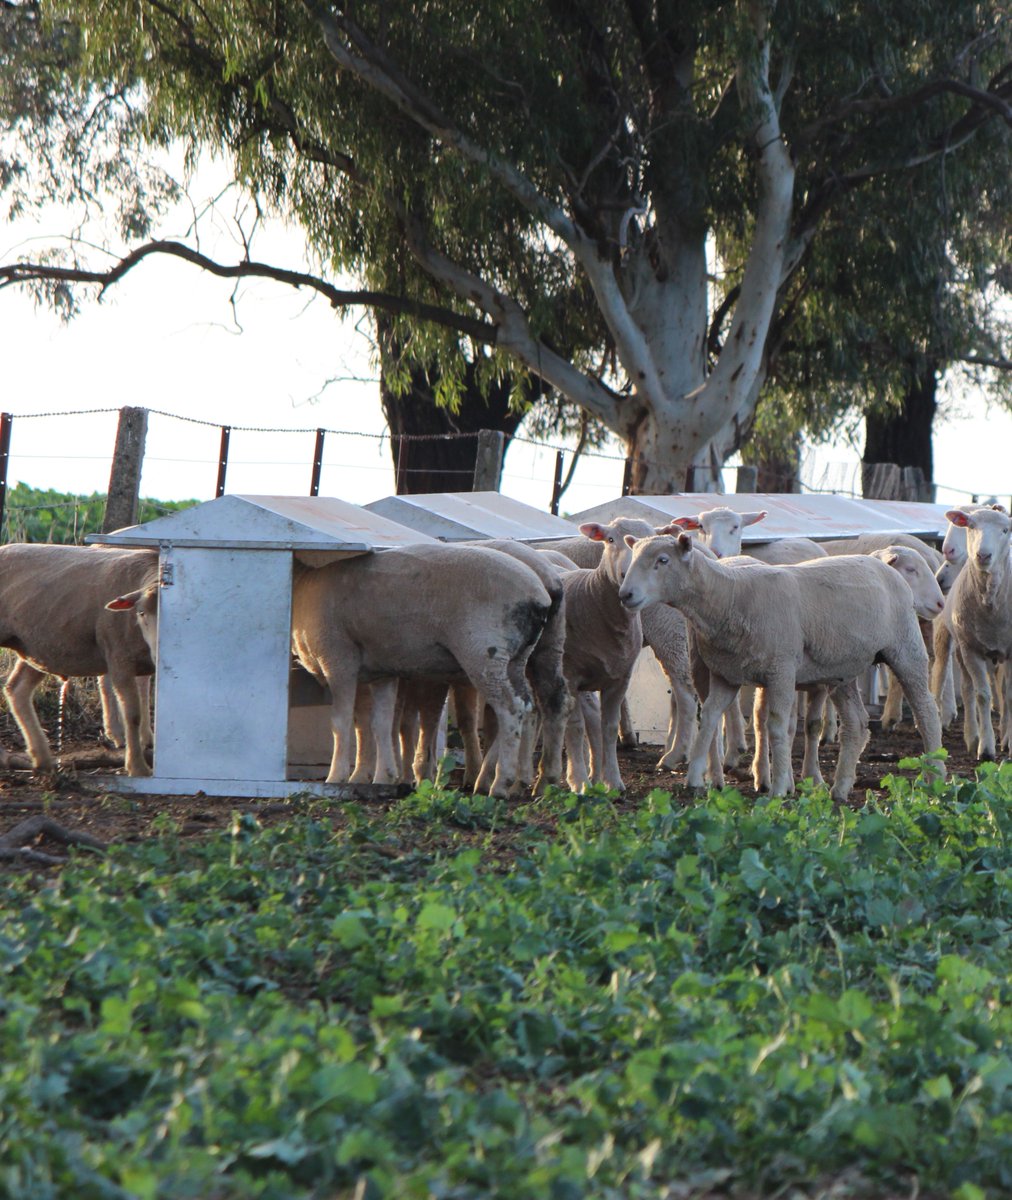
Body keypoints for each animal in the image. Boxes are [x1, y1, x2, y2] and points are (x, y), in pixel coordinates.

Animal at [0, 544, 159, 776]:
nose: (157, 653)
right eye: (140, 613)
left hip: (39, 648)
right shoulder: (119, 658)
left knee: (17, 689)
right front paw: (137, 767)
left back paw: (43, 760)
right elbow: (132, 715)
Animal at [289, 544, 553, 798]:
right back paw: (504, 781)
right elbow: (381, 724)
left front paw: (336, 777)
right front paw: (384, 777)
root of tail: (538, 596)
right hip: (517, 657)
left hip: (485, 652)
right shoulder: (381, 670)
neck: (303, 585)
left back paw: (500, 783)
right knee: (527, 707)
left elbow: (340, 722)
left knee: (510, 709)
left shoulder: (338, 659)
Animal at [618, 533, 943, 801]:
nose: (625, 595)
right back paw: (840, 789)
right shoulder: (726, 674)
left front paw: (778, 787)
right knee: (856, 723)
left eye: (663, 560)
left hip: (905, 647)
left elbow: (776, 725)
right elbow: (709, 716)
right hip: (843, 669)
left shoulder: (781, 670)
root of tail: (885, 567)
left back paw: (935, 777)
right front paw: (696, 778)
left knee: (927, 712)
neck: (730, 595)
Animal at [938, 506, 1012, 760]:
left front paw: (1009, 743)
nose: (983, 555)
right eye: (970, 526)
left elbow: (1009, 696)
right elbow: (982, 695)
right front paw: (986, 749)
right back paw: (973, 738)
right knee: (968, 690)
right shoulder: (971, 649)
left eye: (1005, 530)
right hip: (962, 648)